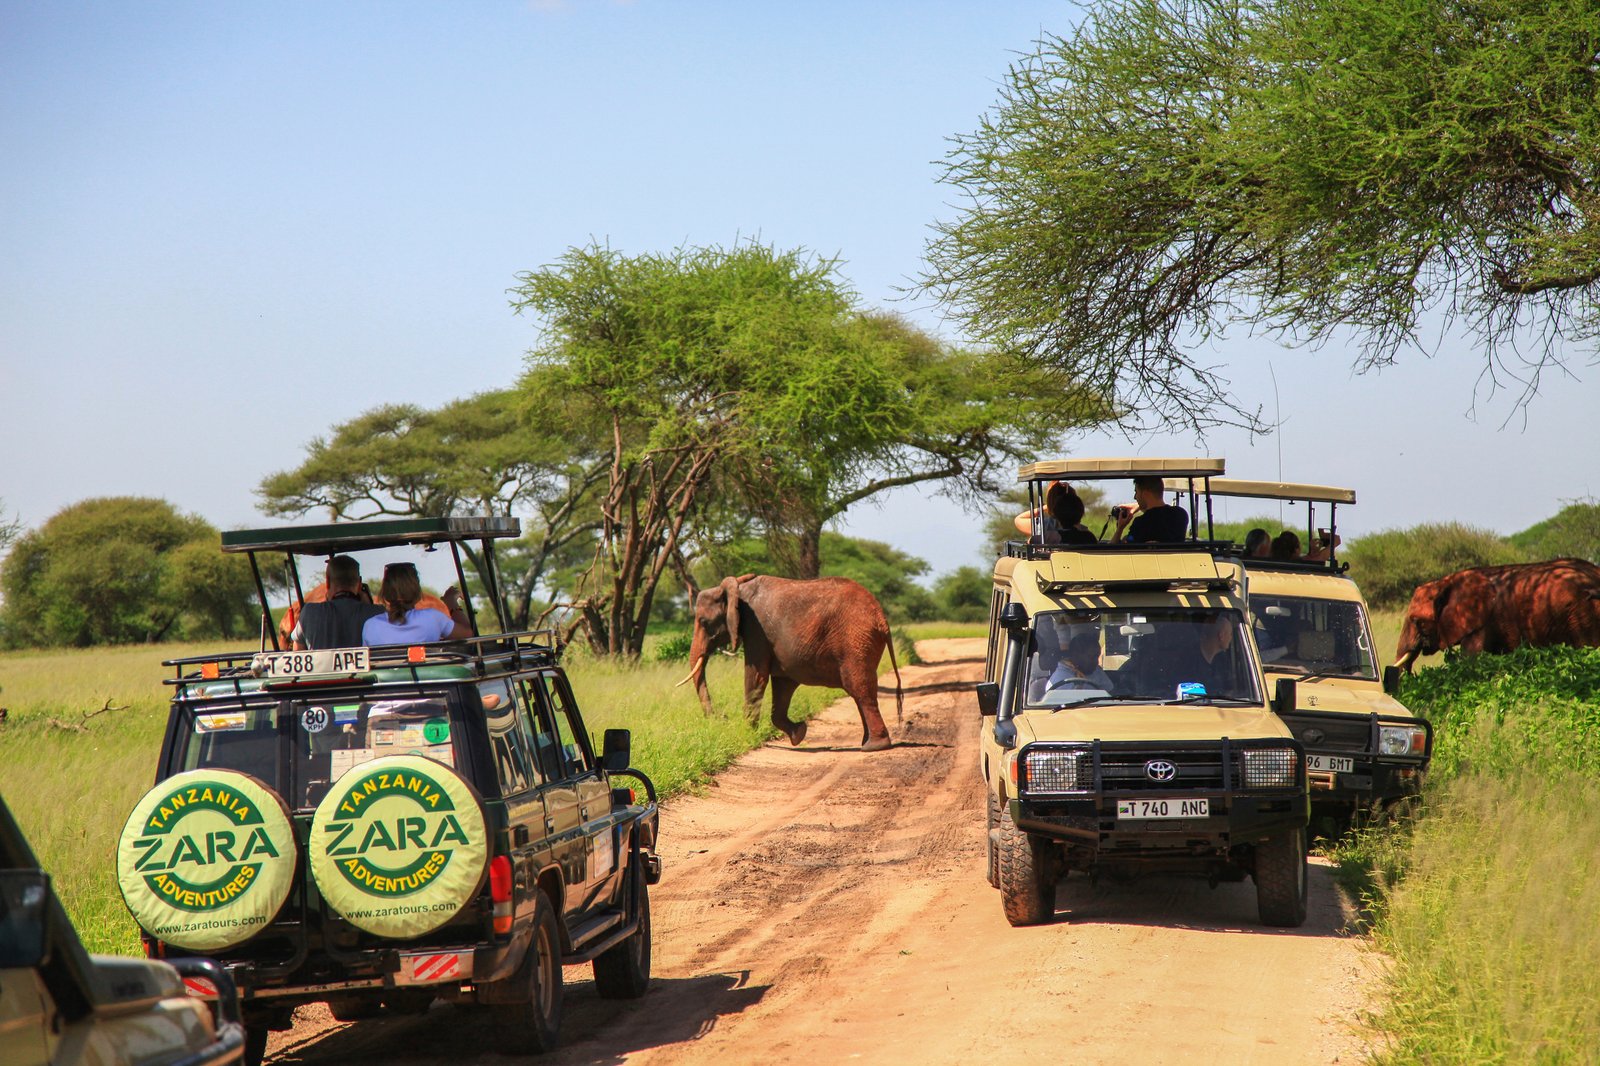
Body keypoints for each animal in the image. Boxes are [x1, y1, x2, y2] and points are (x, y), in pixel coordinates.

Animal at [675, 573, 908, 745]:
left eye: (703, 622)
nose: (721, 718)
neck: (738, 588)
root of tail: (881, 617)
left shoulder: (756, 629)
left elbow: (756, 675)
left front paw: (747, 734)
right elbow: (782, 683)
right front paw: (799, 734)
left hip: (855, 640)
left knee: (858, 687)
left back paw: (874, 746)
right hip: (863, 642)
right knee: (859, 690)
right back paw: (866, 743)